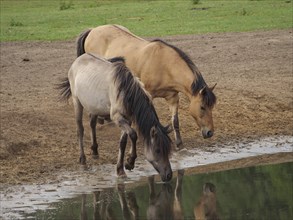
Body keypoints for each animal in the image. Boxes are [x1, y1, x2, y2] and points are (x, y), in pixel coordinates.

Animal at [76, 24, 216, 150]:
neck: (165, 65)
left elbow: (175, 121)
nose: (210, 132)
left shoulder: (173, 98)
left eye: (212, 107)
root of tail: (92, 30)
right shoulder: (147, 94)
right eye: (202, 107)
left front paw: (179, 143)